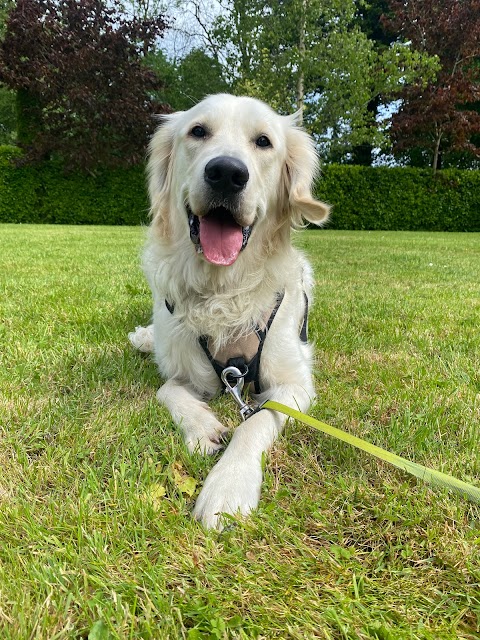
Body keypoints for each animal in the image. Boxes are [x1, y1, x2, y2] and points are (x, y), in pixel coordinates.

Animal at [128, 92, 330, 528]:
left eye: (264, 142)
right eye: (198, 131)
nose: (226, 173)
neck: (222, 289)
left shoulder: (293, 384)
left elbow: (255, 421)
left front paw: (228, 486)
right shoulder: (185, 366)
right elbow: (167, 388)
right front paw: (203, 427)